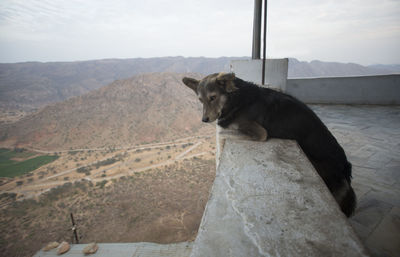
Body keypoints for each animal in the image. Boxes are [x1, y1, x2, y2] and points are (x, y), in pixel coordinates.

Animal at [183, 72, 354, 216]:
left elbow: (220, 133)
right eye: (200, 100)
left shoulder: (260, 133)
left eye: (213, 97)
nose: (204, 120)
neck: (235, 99)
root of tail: (346, 166)